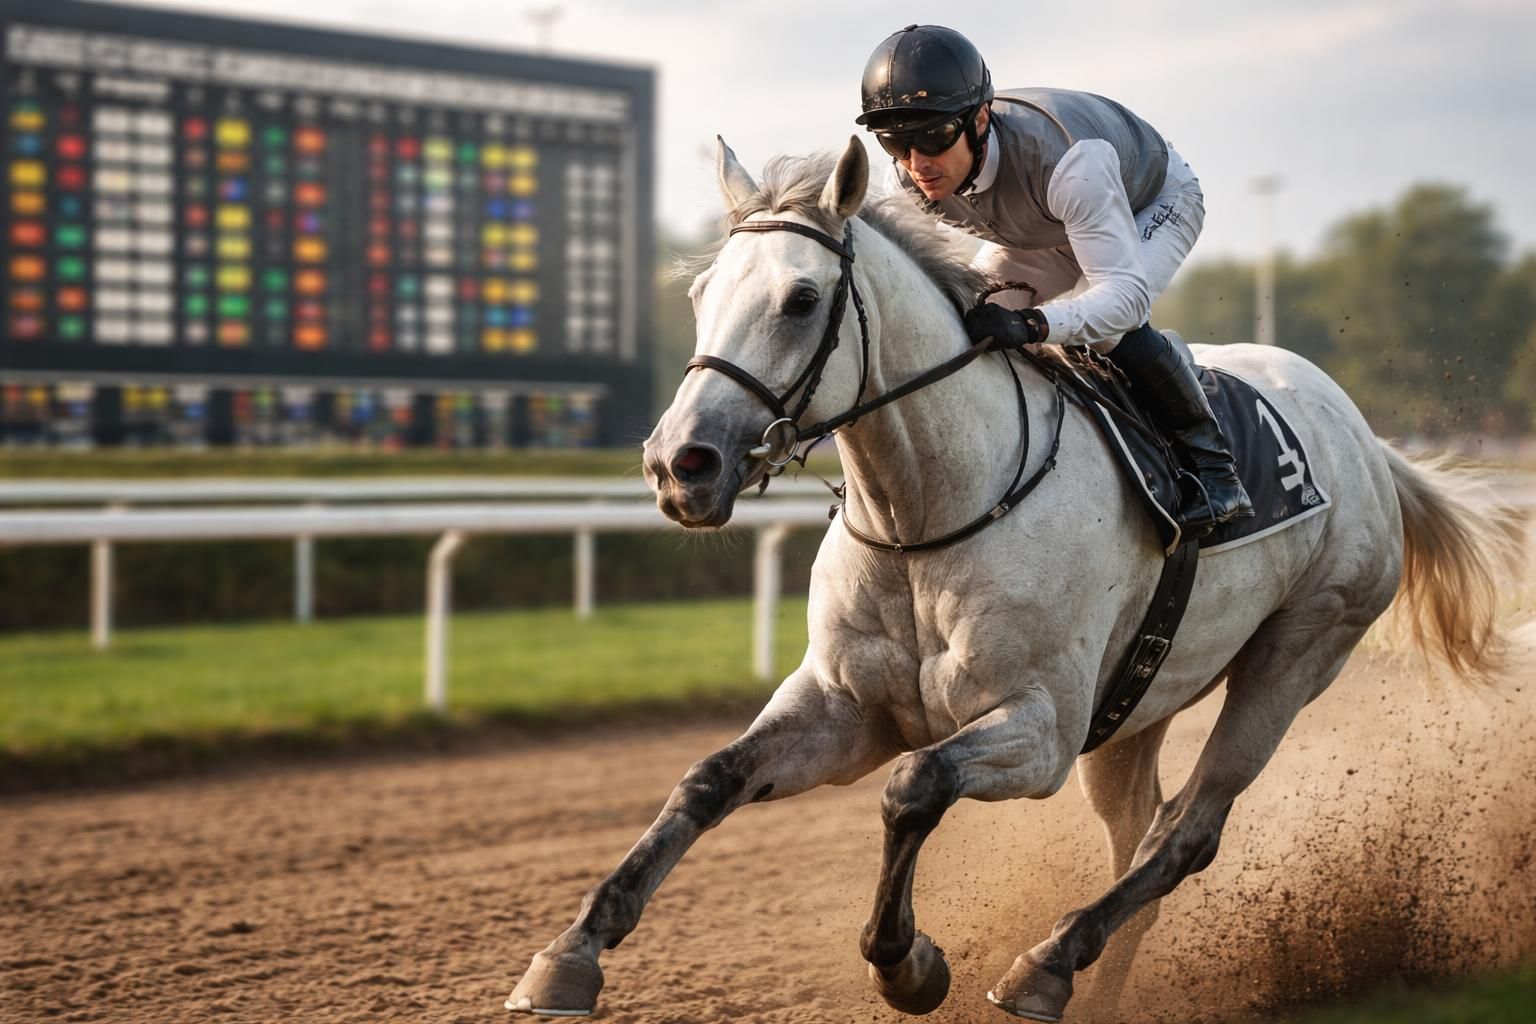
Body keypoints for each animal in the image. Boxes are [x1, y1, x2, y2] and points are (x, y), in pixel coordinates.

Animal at [505, 137, 1516, 1021]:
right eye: (703, 292)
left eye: (800, 298)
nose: (681, 465)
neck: (928, 517)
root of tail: (1369, 440)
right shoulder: (843, 707)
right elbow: (707, 780)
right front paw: (567, 956)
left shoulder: (1039, 731)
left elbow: (913, 786)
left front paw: (909, 965)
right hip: (1136, 705)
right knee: (1140, 830)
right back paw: (1102, 989)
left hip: (1297, 651)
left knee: (1188, 831)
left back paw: (1048, 965)